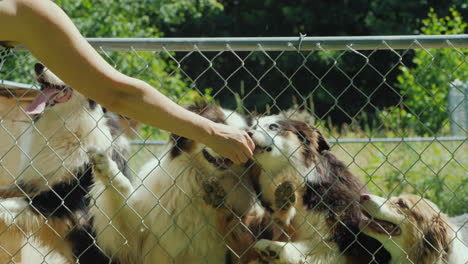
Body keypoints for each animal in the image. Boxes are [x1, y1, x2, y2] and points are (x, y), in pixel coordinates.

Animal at [88, 102, 262, 264]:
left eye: (246, 135)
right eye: (215, 124)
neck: (202, 181)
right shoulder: (139, 234)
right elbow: (123, 193)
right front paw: (106, 165)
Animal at [243, 115, 390, 264]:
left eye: (273, 126)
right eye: (253, 127)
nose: (248, 133)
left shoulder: (346, 225)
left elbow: (322, 247)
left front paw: (276, 248)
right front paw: (283, 202)